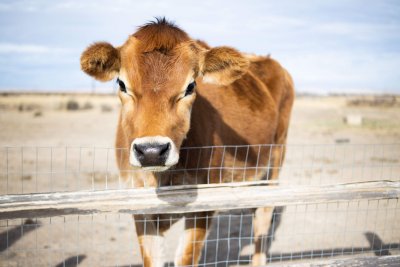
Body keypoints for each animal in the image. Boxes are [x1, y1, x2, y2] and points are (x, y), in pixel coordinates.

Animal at [80, 18, 294, 267]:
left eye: (191, 86)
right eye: (122, 84)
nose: (151, 151)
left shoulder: (202, 204)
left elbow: (186, 257)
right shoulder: (138, 204)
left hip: (276, 159)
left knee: (263, 216)